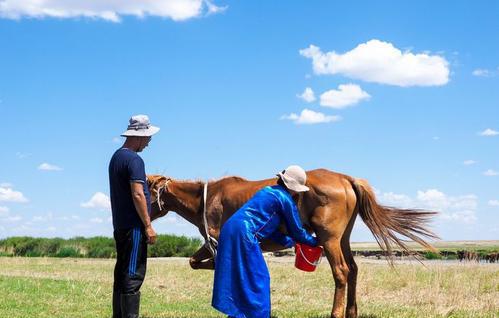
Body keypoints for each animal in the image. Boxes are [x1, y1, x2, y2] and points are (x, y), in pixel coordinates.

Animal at [146, 169, 440, 318]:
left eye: (145, 189)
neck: (208, 198)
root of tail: (346, 179)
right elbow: (195, 262)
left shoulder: (216, 239)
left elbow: (209, 265)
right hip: (342, 239)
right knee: (354, 270)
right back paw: (351, 312)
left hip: (330, 239)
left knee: (341, 272)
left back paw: (335, 313)